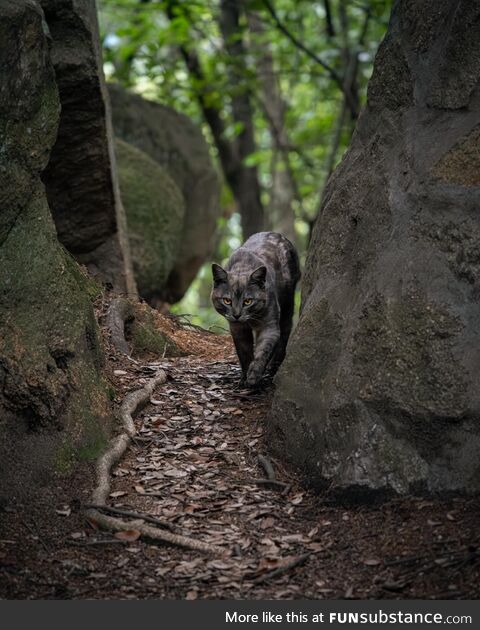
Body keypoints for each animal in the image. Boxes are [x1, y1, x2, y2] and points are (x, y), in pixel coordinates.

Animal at [211, 233, 300, 388]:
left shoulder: (269, 326)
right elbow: (244, 352)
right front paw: (245, 377)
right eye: (227, 300)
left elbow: (263, 350)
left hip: (288, 302)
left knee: (285, 330)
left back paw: (274, 365)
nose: (236, 315)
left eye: (248, 301)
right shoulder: (237, 329)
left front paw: (254, 375)